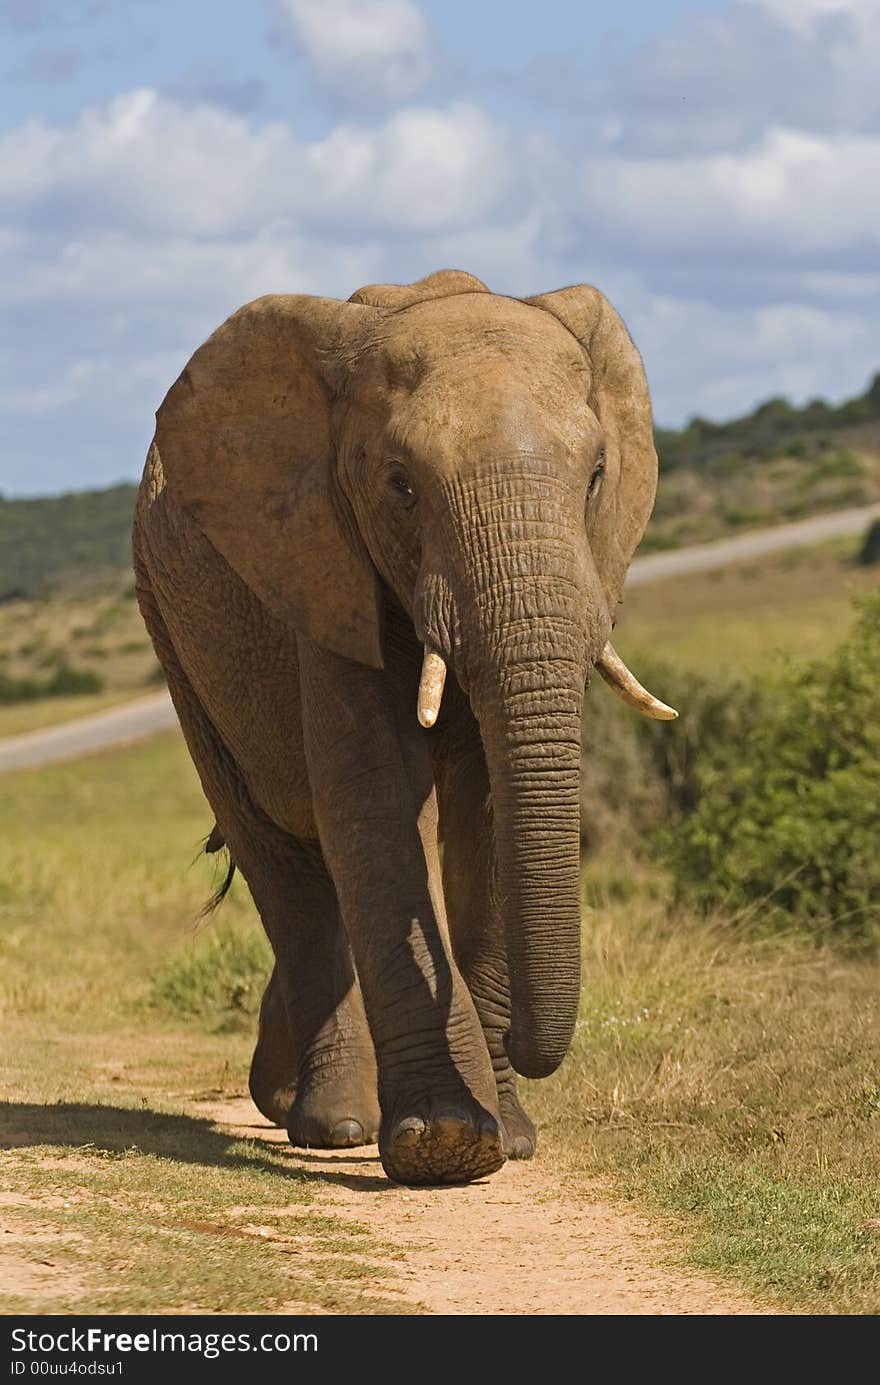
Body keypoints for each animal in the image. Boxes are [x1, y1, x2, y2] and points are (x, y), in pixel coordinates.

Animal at [134, 272, 679, 1191]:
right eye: (401, 485)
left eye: (597, 475)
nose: (526, 1046)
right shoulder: (321, 562)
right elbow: (377, 798)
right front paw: (444, 1142)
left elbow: (487, 815)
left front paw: (508, 1137)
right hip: (174, 641)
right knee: (285, 868)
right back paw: (334, 1122)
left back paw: (289, 1098)